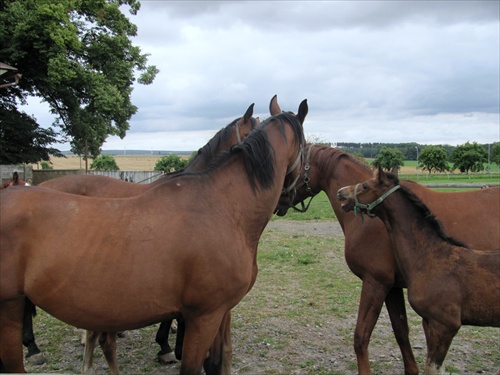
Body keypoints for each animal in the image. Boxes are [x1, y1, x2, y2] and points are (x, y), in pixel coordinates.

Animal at [0, 98, 306, 374]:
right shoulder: (205, 315)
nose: (291, 198)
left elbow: (218, 361)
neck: (223, 207)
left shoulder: (219, 312)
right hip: (10, 308)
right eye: (306, 148)